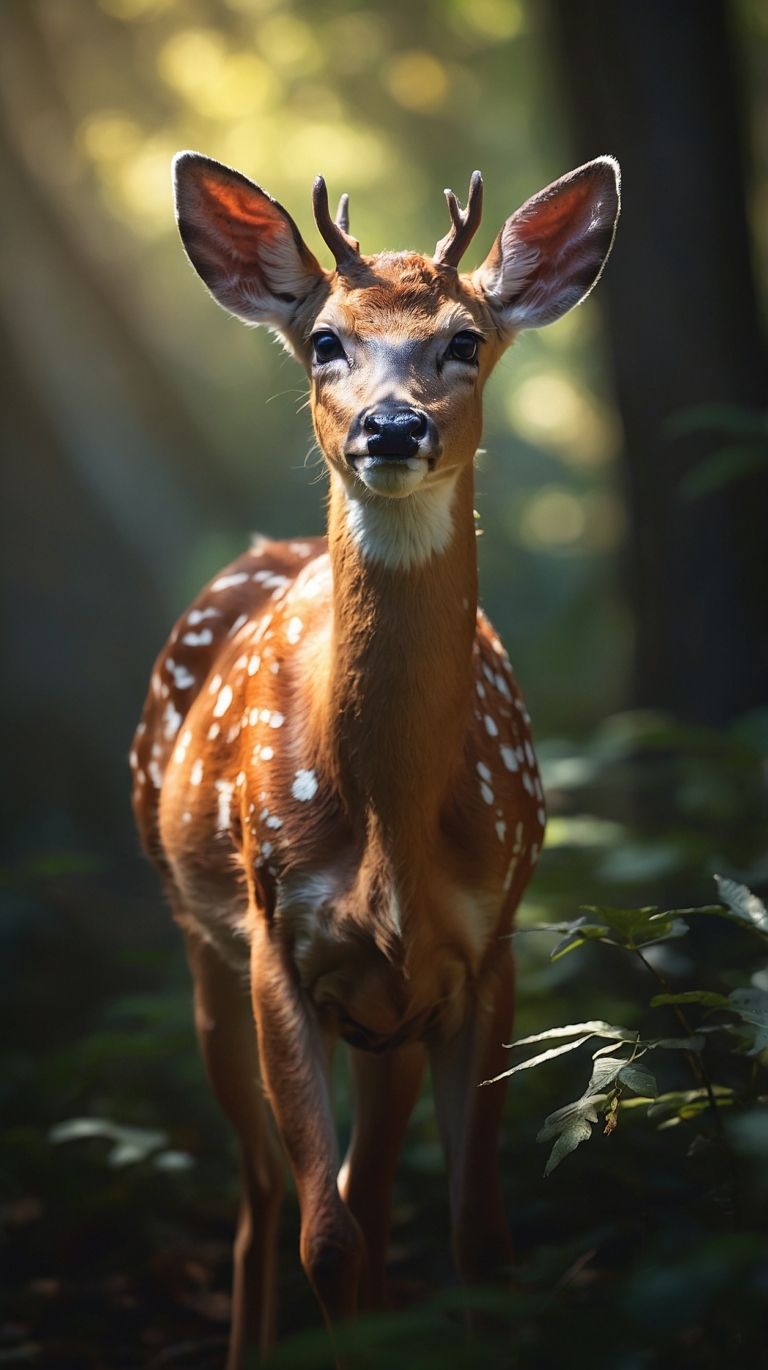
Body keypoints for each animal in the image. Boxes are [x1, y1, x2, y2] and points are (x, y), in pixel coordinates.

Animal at [130, 149, 619, 1366]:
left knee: (364, 1180)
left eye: (466, 339)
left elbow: (480, 1237)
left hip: (385, 1011)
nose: (392, 428)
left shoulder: (484, 950)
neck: (389, 817)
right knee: (267, 1194)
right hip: (200, 939)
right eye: (324, 339)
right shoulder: (279, 938)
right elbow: (327, 1240)